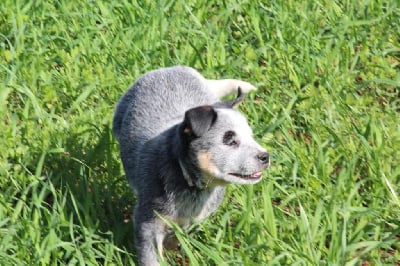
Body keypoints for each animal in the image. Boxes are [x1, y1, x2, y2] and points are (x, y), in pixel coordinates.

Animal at [111, 65, 270, 264]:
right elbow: (152, 258)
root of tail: (174, 68)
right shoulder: (147, 224)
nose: (265, 156)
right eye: (230, 140)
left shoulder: (195, 218)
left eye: (251, 136)